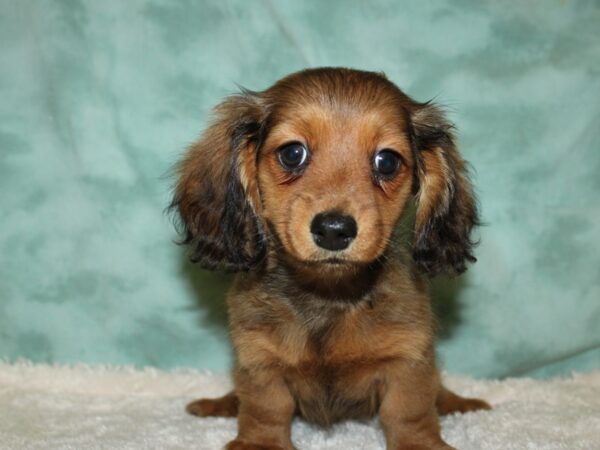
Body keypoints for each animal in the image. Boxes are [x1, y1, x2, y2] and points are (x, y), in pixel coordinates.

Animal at [171, 67, 490, 450]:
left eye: (387, 161)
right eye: (293, 153)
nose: (334, 230)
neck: (328, 294)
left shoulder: (408, 357)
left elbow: (409, 410)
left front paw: (420, 442)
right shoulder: (259, 359)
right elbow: (265, 408)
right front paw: (260, 442)